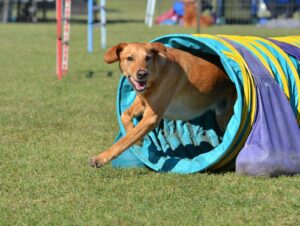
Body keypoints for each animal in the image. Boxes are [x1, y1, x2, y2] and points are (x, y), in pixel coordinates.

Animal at [89, 42, 237, 168]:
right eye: (129, 58)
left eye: (148, 58)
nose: (142, 74)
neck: (157, 73)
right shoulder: (144, 102)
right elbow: (125, 115)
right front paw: (138, 140)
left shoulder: (151, 117)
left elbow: (124, 141)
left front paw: (100, 158)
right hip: (221, 116)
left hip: (225, 117)